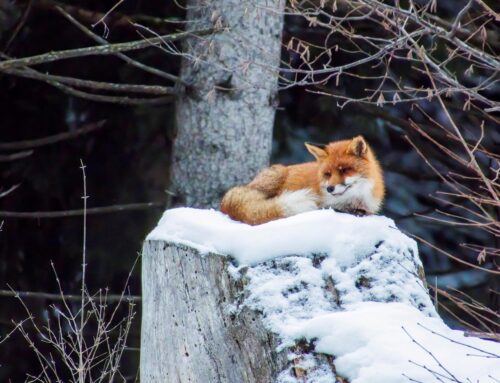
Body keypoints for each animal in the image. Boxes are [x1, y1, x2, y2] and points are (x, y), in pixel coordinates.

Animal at [220, 136, 386, 226]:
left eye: (344, 170)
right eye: (327, 174)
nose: (330, 189)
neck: (355, 200)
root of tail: (224, 204)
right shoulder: (325, 203)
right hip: (275, 176)